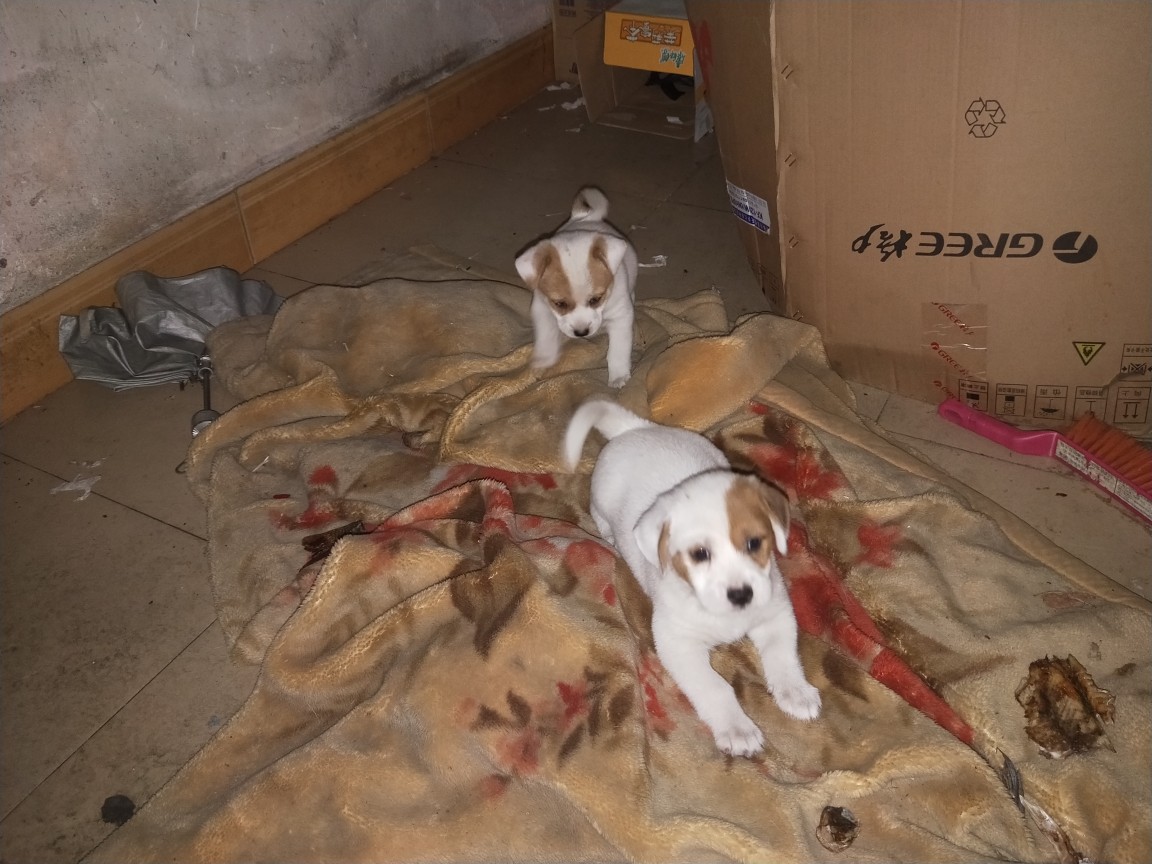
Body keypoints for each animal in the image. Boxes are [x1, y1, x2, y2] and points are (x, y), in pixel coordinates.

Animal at [515, 187, 638, 387]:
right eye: (559, 304)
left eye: (596, 299)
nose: (581, 333)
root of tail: (590, 217)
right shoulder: (542, 309)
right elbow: (546, 335)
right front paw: (543, 359)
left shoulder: (621, 316)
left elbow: (618, 349)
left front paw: (618, 375)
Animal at [563, 399, 821, 756]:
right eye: (700, 554)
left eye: (754, 543)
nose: (742, 595)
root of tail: (637, 428)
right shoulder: (677, 644)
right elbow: (715, 687)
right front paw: (737, 728)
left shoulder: (776, 614)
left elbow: (782, 657)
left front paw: (795, 691)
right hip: (600, 499)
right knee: (601, 518)